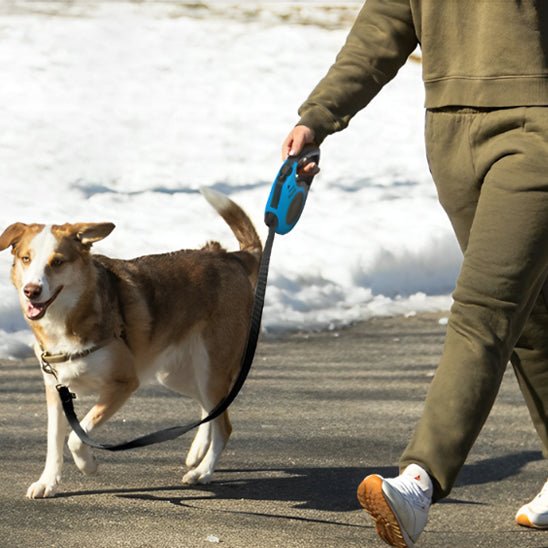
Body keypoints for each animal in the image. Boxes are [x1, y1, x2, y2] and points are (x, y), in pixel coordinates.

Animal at [0, 187, 262, 496]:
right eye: (26, 259)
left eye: (58, 262)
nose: (31, 291)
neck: (69, 317)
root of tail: (231, 258)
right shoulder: (56, 391)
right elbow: (54, 441)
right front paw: (47, 482)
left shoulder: (123, 384)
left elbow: (76, 437)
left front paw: (88, 465)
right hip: (176, 374)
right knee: (211, 410)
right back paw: (197, 451)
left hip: (211, 370)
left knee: (223, 425)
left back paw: (203, 471)